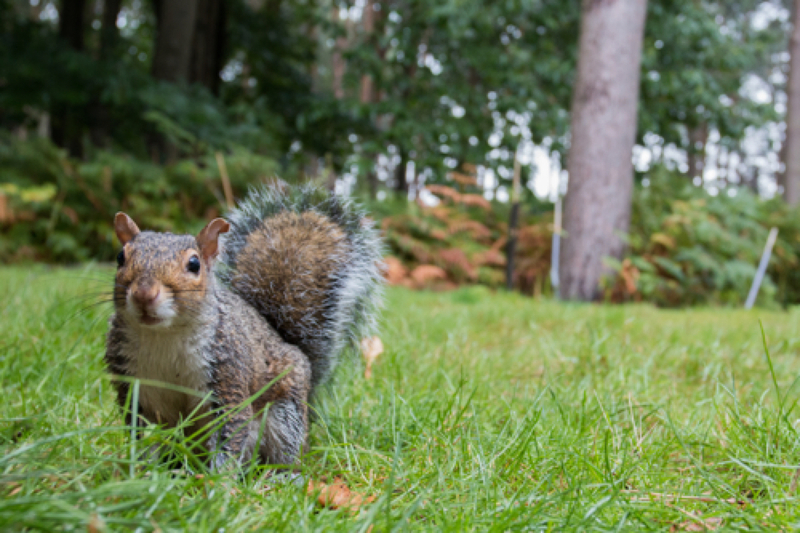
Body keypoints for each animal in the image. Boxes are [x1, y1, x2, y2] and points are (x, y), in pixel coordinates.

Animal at [104, 184, 384, 470]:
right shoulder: (134, 387)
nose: (144, 294)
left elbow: (231, 431)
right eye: (120, 257)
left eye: (194, 264)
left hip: (286, 412)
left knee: (287, 447)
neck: (164, 336)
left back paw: (284, 473)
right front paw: (138, 469)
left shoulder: (228, 373)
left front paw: (218, 478)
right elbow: (141, 435)